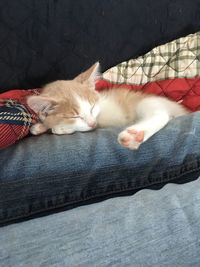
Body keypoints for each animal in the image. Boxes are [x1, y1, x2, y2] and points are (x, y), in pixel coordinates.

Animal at [27, 63, 189, 151]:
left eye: (92, 108)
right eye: (75, 115)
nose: (92, 123)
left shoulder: (101, 120)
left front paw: (60, 128)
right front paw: (40, 126)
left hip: (145, 103)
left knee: (162, 115)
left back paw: (135, 135)